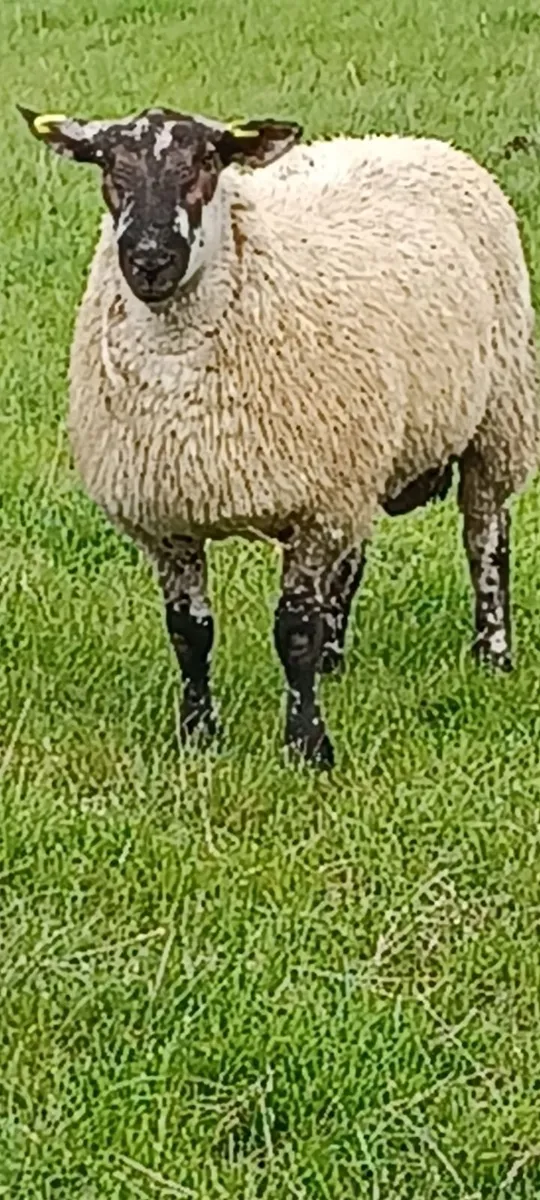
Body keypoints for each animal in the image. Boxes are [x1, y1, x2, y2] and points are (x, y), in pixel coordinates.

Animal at [20, 104, 539, 770]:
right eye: (109, 166)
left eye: (205, 163)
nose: (149, 259)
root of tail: (407, 141)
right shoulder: (170, 517)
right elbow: (189, 633)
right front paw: (198, 737)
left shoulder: (314, 504)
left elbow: (293, 631)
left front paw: (308, 746)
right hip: (363, 454)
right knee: (355, 560)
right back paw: (336, 659)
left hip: (496, 418)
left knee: (485, 539)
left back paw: (492, 652)